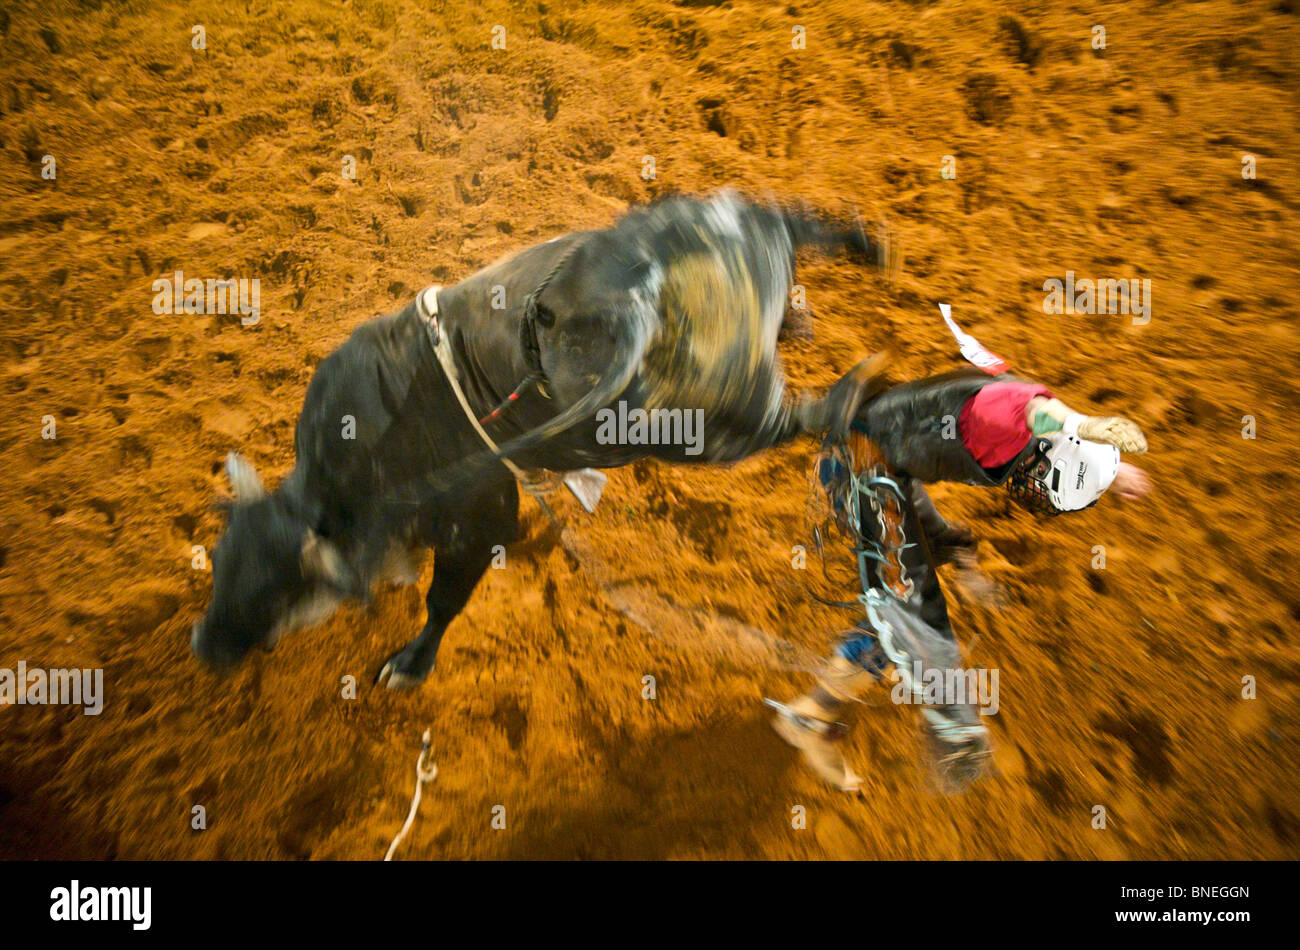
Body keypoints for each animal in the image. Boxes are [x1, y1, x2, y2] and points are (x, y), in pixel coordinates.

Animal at [188, 191, 889, 686]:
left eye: (278, 595)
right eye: (219, 564)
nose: (204, 646)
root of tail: (635, 299)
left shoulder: (477, 521)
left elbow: (443, 600)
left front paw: (410, 663)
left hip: (714, 432)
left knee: (804, 411)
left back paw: (858, 393)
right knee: (796, 225)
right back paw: (844, 273)